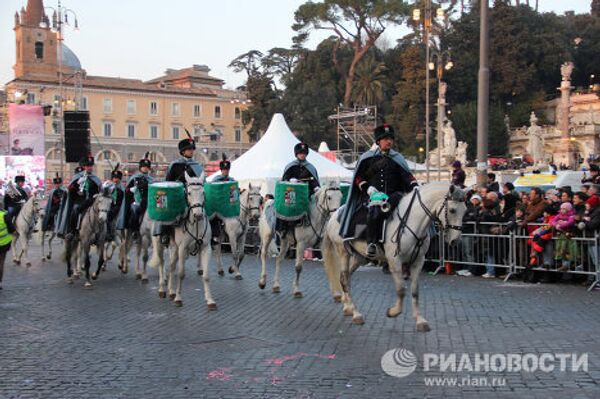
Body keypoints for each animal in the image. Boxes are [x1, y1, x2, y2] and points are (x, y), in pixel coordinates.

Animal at [148, 173, 216, 310]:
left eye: (203, 192)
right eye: (188, 193)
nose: (198, 215)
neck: (196, 225)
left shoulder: (206, 248)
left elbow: (206, 275)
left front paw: (210, 300)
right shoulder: (182, 249)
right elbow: (181, 274)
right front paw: (179, 299)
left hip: (174, 249)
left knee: (171, 266)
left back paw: (171, 291)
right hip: (159, 245)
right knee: (161, 263)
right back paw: (162, 289)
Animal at [322, 183, 466, 330]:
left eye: (465, 211)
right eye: (453, 210)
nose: (455, 241)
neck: (411, 221)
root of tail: (334, 216)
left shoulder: (418, 262)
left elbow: (415, 291)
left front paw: (420, 320)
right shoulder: (395, 261)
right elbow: (401, 290)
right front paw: (393, 312)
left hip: (359, 257)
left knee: (344, 277)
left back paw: (348, 307)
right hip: (343, 252)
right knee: (345, 279)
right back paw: (356, 314)